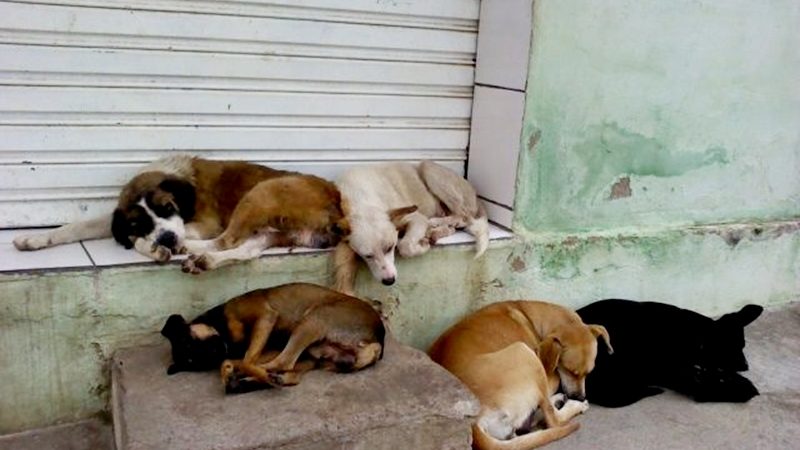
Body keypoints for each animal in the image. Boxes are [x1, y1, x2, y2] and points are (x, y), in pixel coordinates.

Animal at [14, 155, 346, 270]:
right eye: (138, 222)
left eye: (168, 208)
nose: (167, 239)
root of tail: (337, 198)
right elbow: (78, 226)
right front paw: (35, 240)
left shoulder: (206, 222)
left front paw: (153, 246)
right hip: (271, 228)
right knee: (245, 249)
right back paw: (204, 259)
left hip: (261, 193)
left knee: (226, 240)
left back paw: (187, 250)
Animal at [332, 160, 488, 294]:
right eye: (367, 256)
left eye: (390, 248)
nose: (389, 281)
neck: (361, 199)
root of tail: (476, 196)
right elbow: (344, 263)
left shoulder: (416, 218)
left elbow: (405, 246)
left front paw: (421, 246)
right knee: (455, 226)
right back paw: (436, 231)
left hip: (428, 167)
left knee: (464, 216)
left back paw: (436, 222)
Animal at [432, 300, 612, 448]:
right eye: (569, 371)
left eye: (589, 373)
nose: (580, 397)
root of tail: (473, 421)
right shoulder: (549, 372)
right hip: (524, 352)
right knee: (553, 420)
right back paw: (573, 405)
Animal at [576, 298, 764, 408]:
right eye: (731, 347)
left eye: (743, 345)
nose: (746, 366)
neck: (697, 337)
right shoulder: (680, 374)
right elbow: (705, 388)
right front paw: (744, 388)